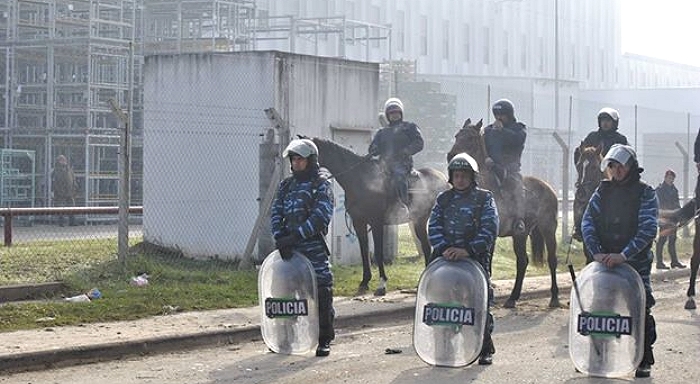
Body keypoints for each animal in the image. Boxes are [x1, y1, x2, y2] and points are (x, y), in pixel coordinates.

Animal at [310, 136, 448, 296]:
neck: (360, 180)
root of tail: (443, 178)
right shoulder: (359, 223)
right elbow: (364, 251)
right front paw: (364, 282)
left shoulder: (376, 223)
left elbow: (378, 252)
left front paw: (382, 284)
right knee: (427, 247)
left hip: (420, 221)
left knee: (427, 247)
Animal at [446, 118, 560, 308]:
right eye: (456, 135)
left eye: (470, 138)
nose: (451, 156)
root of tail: (548, 187)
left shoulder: (489, 236)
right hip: (520, 235)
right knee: (522, 261)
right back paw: (513, 298)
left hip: (548, 229)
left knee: (552, 260)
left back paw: (554, 297)